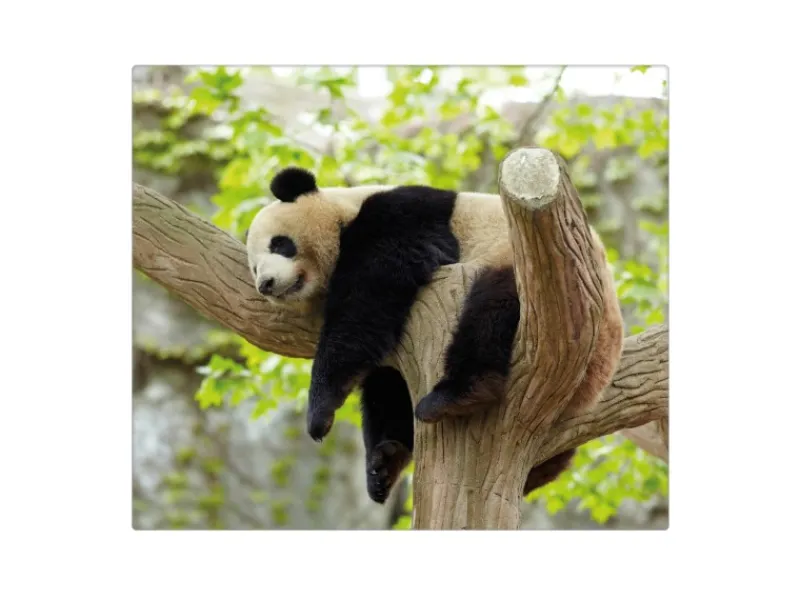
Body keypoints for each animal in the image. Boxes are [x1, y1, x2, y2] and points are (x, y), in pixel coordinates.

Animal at [246, 166, 624, 504]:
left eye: (280, 245)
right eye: (253, 266)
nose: (266, 284)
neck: (346, 211)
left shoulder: (402, 218)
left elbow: (370, 294)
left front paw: (320, 412)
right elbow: (385, 379)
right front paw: (383, 463)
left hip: (536, 282)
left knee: (491, 309)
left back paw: (457, 395)